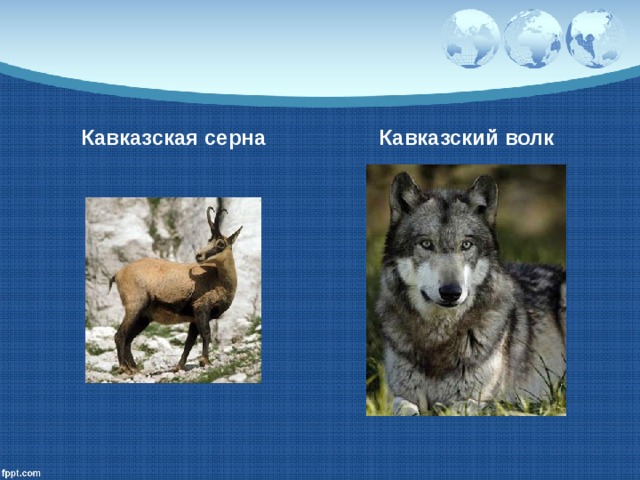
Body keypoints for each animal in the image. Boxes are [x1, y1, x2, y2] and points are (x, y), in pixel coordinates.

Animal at [376, 173, 566, 415]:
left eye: (466, 245)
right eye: (426, 244)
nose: (451, 292)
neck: (440, 337)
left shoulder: (483, 399)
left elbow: (456, 408)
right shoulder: (396, 394)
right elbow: (403, 405)